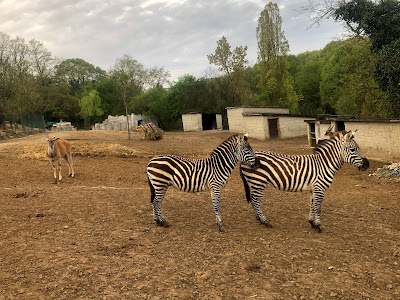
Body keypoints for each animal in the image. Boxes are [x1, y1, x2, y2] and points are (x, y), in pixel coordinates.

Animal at [239, 131, 370, 232]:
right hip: (258, 181)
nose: (367, 164)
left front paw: (312, 223)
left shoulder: (314, 189)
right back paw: (264, 221)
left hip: (255, 182)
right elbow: (318, 207)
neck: (325, 164)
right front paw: (319, 226)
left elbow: (312, 205)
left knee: (254, 200)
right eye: (352, 149)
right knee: (256, 200)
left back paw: (259, 219)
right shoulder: (320, 188)